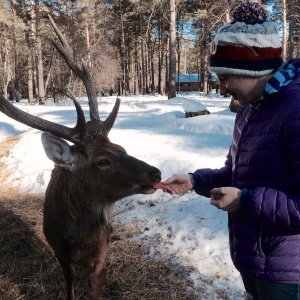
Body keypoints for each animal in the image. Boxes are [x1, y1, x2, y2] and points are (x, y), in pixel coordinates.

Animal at [0, 15, 162, 300]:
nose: (156, 173)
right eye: (102, 161)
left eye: (121, 147)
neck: (77, 241)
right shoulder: (58, 251)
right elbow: (69, 282)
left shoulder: (100, 255)